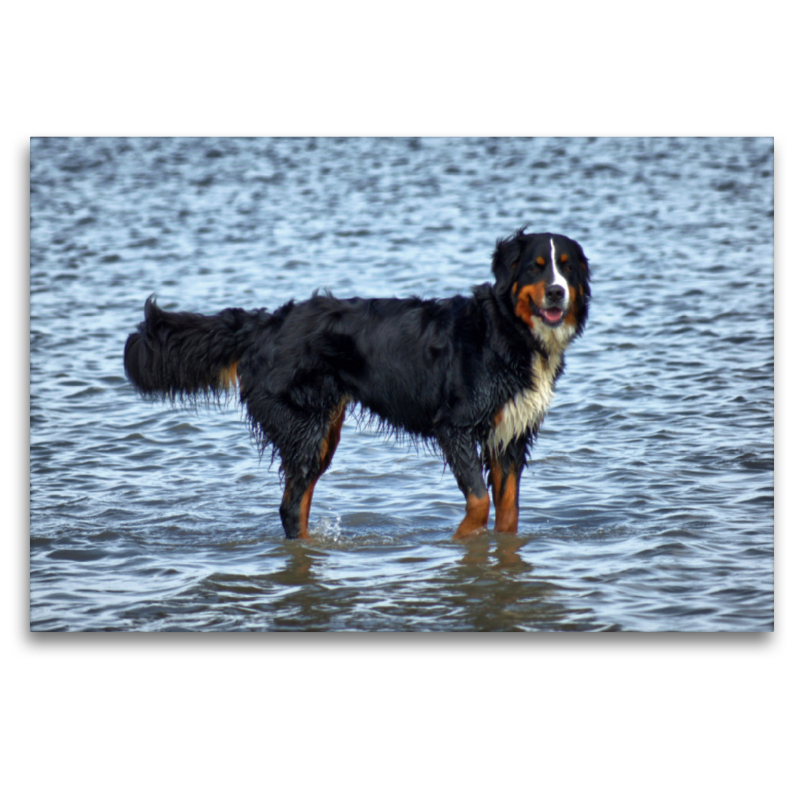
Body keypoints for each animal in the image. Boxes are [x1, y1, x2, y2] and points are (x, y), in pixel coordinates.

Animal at [123, 228, 588, 540]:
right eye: (536, 267)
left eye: (566, 268)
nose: (556, 293)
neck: (509, 334)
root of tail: (267, 324)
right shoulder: (454, 427)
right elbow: (478, 501)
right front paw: (459, 539)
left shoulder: (510, 436)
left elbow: (507, 513)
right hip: (305, 427)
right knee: (290, 505)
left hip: (322, 431)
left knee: (297, 503)